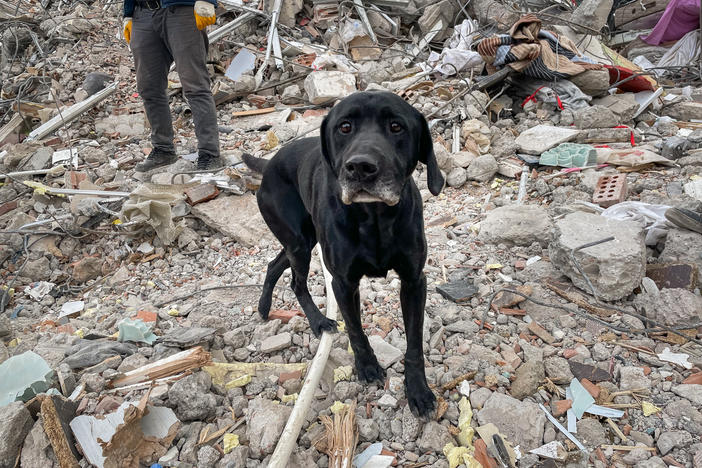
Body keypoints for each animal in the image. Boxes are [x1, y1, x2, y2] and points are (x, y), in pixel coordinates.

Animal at [245, 91, 446, 416]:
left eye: (396, 126)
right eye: (345, 127)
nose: (360, 167)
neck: (374, 217)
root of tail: (271, 162)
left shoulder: (414, 281)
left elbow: (414, 341)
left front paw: (418, 390)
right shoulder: (343, 282)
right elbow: (355, 329)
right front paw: (366, 366)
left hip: (302, 240)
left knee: (275, 264)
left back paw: (264, 306)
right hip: (299, 243)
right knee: (296, 281)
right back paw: (317, 321)